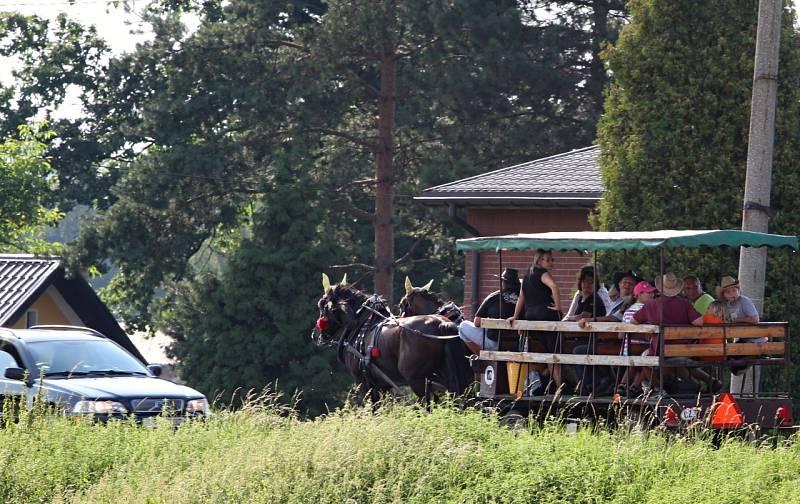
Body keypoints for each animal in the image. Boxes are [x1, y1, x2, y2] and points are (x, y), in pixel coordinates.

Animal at [310, 286, 476, 400]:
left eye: (322, 308)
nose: (314, 335)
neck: (363, 323)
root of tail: (442, 324)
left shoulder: (364, 382)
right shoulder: (382, 384)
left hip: (417, 380)